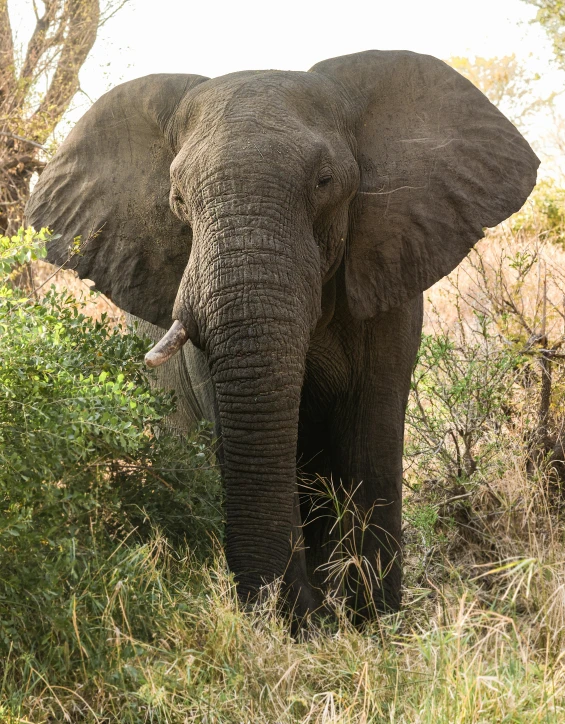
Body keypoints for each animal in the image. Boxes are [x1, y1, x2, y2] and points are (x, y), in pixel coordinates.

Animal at [26, 48, 536, 620]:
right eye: (177, 199)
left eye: (324, 181)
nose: (294, 617)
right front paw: (303, 624)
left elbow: (371, 437)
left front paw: (374, 624)